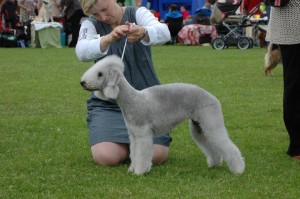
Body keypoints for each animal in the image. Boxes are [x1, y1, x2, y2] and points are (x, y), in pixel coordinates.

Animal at [81, 55, 245, 176]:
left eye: (100, 74)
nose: (83, 82)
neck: (132, 100)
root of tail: (213, 97)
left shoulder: (143, 135)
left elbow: (142, 154)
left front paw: (139, 172)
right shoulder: (133, 136)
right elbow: (134, 153)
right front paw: (132, 169)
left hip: (211, 120)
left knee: (227, 145)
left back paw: (238, 169)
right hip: (199, 126)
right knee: (211, 145)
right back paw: (215, 164)